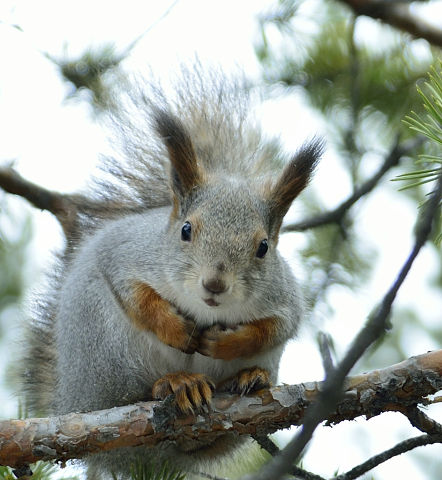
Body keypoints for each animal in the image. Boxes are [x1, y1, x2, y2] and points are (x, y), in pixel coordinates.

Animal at [20, 66, 322, 476]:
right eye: (186, 230)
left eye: (263, 248)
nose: (215, 284)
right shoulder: (124, 253)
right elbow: (135, 295)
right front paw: (177, 329)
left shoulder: (284, 295)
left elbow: (277, 327)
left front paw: (226, 343)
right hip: (108, 348)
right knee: (131, 393)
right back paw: (176, 384)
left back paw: (250, 379)